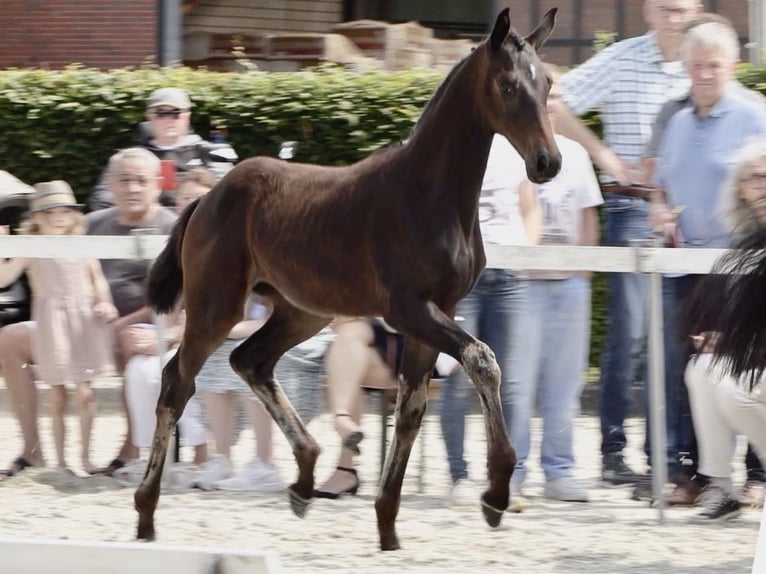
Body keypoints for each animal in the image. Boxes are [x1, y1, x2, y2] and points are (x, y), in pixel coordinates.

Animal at [135, 5, 560, 552]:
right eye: (508, 86)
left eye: (546, 83)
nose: (548, 162)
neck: (430, 194)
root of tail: (206, 198)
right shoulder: (409, 309)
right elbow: (483, 361)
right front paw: (497, 493)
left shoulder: (434, 313)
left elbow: (411, 409)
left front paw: (388, 525)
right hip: (216, 307)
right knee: (177, 381)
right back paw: (146, 513)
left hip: (303, 312)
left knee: (249, 360)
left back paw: (304, 479)